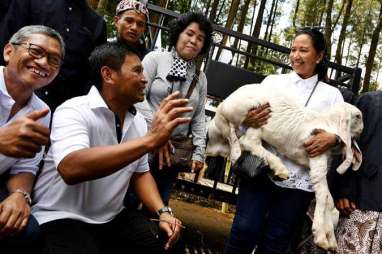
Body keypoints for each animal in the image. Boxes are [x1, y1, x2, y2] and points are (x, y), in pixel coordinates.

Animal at [207, 84, 362, 251]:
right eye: (358, 116)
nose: (361, 131)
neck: (327, 123)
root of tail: (225, 102)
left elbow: (330, 200)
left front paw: (332, 242)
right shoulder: (317, 161)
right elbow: (323, 197)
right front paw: (321, 238)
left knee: (247, 141)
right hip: (251, 113)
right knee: (244, 140)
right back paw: (272, 166)